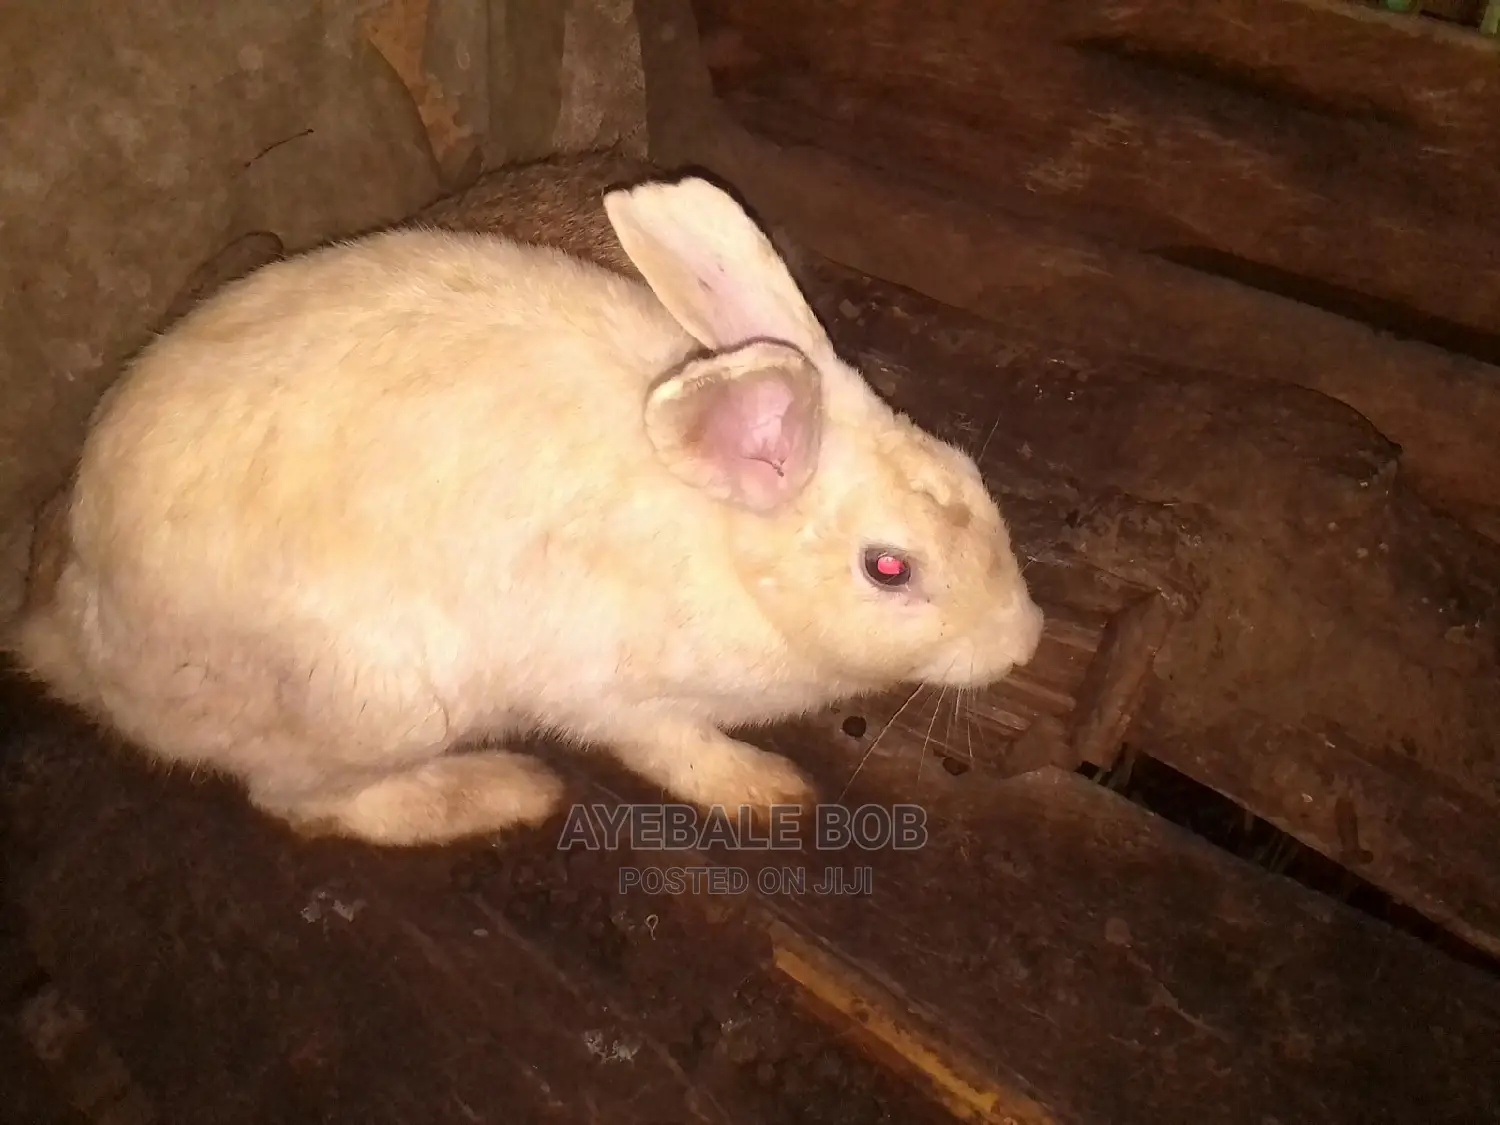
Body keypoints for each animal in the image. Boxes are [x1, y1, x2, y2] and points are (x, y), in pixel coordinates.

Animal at [6, 169, 1045, 848]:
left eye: (972, 478)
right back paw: (509, 789)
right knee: (298, 799)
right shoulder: (612, 696)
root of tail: (78, 643)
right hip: (382, 700)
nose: (1024, 639)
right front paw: (770, 794)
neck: (723, 538)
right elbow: (675, 747)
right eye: (889, 568)